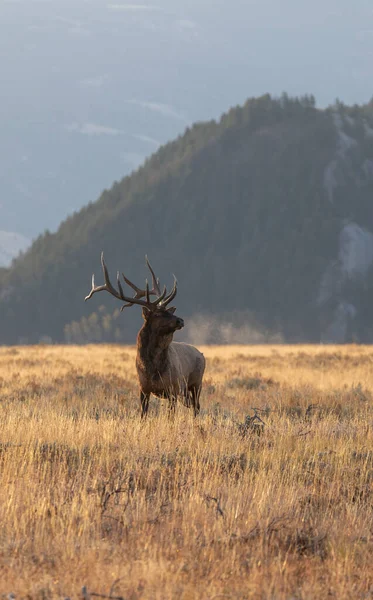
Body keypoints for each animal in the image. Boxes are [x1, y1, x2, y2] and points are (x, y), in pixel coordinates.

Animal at [84, 253, 205, 418]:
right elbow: (143, 414)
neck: (152, 369)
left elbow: (170, 417)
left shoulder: (173, 388)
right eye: (158, 313)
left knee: (196, 407)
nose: (180, 320)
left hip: (196, 384)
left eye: (168, 311)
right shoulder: (143, 388)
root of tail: (201, 354)